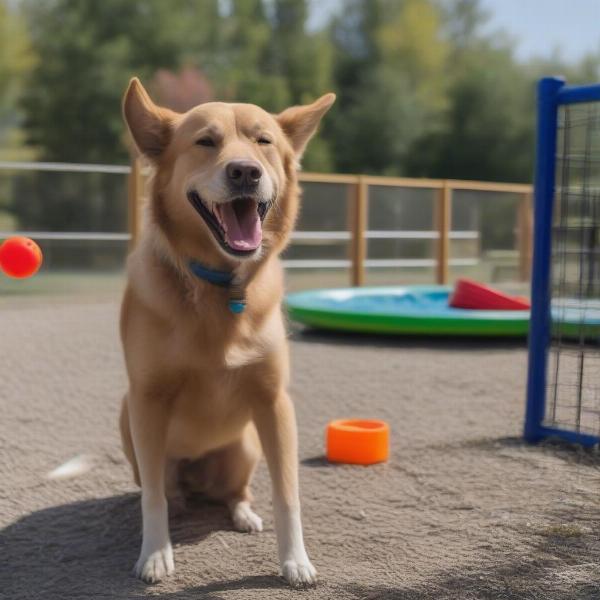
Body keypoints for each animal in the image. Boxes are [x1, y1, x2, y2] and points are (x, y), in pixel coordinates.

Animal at [117, 77, 332, 588]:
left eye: (263, 141)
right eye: (205, 142)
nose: (245, 173)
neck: (219, 287)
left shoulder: (274, 403)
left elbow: (287, 494)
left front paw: (295, 560)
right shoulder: (146, 399)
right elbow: (151, 497)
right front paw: (155, 553)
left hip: (246, 445)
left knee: (235, 493)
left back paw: (243, 513)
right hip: (127, 421)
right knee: (166, 490)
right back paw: (178, 509)